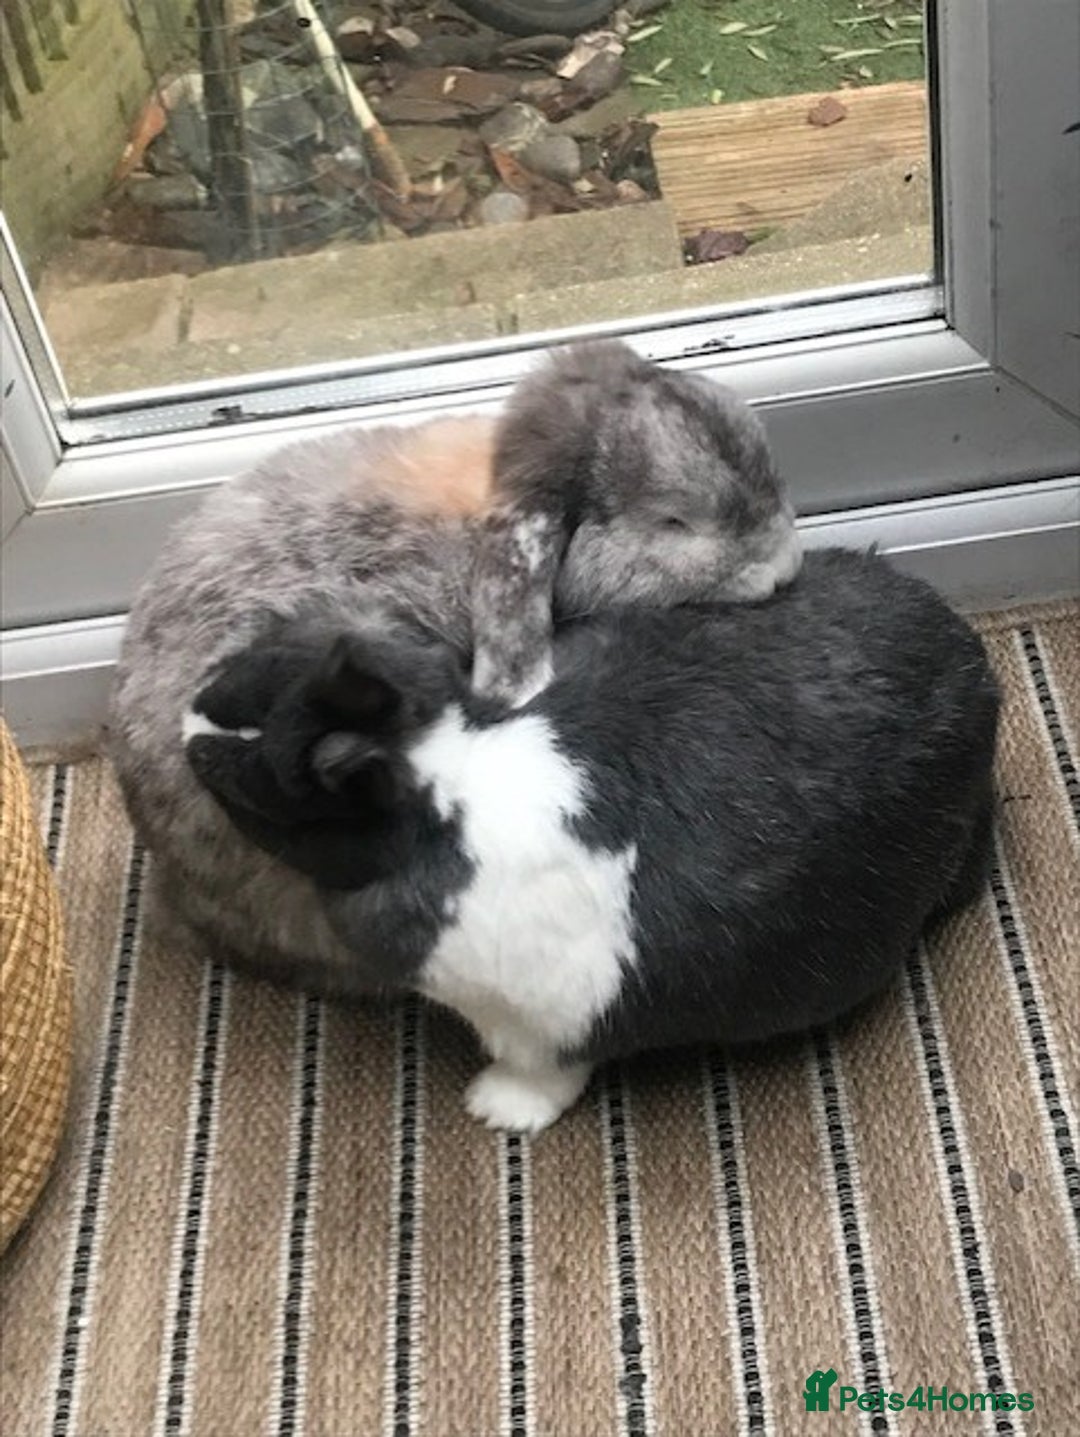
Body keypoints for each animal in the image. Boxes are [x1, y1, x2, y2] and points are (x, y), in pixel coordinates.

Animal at [184, 546, 1001, 1133]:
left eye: (265, 785)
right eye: (261, 667)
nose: (192, 724)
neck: (452, 790)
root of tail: (972, 658)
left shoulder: (537, 1018)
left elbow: (541, 1070)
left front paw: (497, 1109)